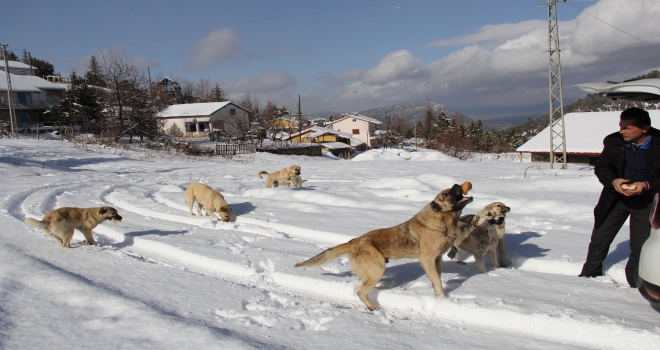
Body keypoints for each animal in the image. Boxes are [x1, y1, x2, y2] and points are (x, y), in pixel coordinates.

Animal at [296, 182, 472, 310]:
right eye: (445, 195)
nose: (457, 184)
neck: (442, 220)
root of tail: (353, 241)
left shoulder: (437, 259)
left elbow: (438, 279)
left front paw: (439, 297)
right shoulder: (427, 259)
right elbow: (437, 280)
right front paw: (442, 299)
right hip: (377, 269)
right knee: (361, 292)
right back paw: (373, 308)